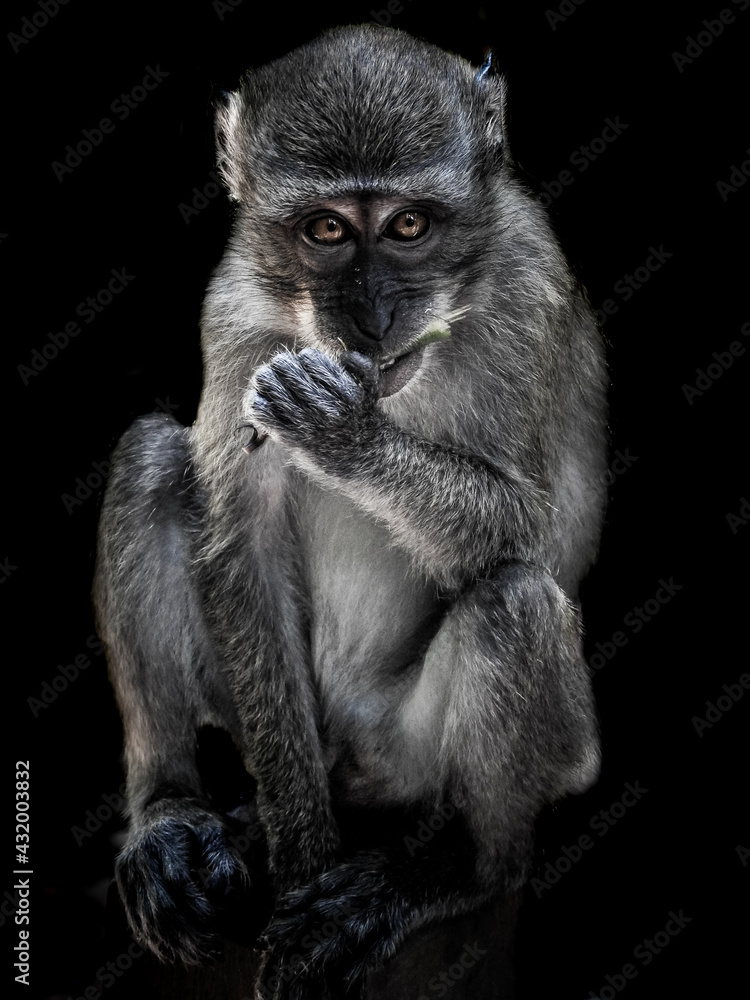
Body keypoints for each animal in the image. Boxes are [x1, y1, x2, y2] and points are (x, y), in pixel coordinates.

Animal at [93, 23, 608, 1000]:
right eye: (327, 229)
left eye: (408, 225)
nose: (371, 318)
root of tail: (355, 765)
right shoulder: (233, 307)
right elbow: (242, 546)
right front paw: (298, 858)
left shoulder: (530, 286)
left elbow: (534, 527)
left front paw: (345, 435)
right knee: (147, 459)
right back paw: (171, 810)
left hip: (427, 756)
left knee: (514, 600)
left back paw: (465, 866)